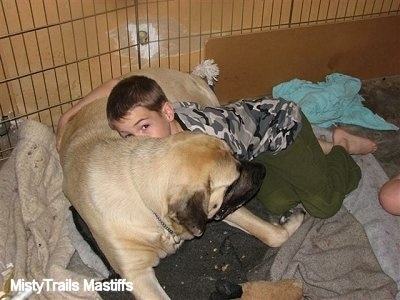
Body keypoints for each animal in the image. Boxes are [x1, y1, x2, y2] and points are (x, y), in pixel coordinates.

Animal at [58, 68, 304, 300]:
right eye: (234, 179)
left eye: (236, 156)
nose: (262, 171)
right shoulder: (136, 273)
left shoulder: (217, 209)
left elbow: (273, 235)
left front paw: (292, 220)